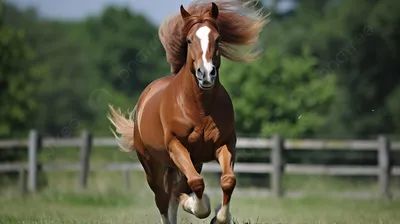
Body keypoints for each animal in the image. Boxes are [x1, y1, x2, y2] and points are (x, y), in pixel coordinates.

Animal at [108, 0, 268, 223]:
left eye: (218, 39)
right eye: (190, 40)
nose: (206, 74)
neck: (200, 108)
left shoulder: (225, 144)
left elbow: (227, 180)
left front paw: (220, 217)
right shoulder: (176, 146)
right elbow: (196, 184)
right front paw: (196, 205)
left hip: (191, 162)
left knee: (175, 193)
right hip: (152, 165)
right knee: (163, 198)